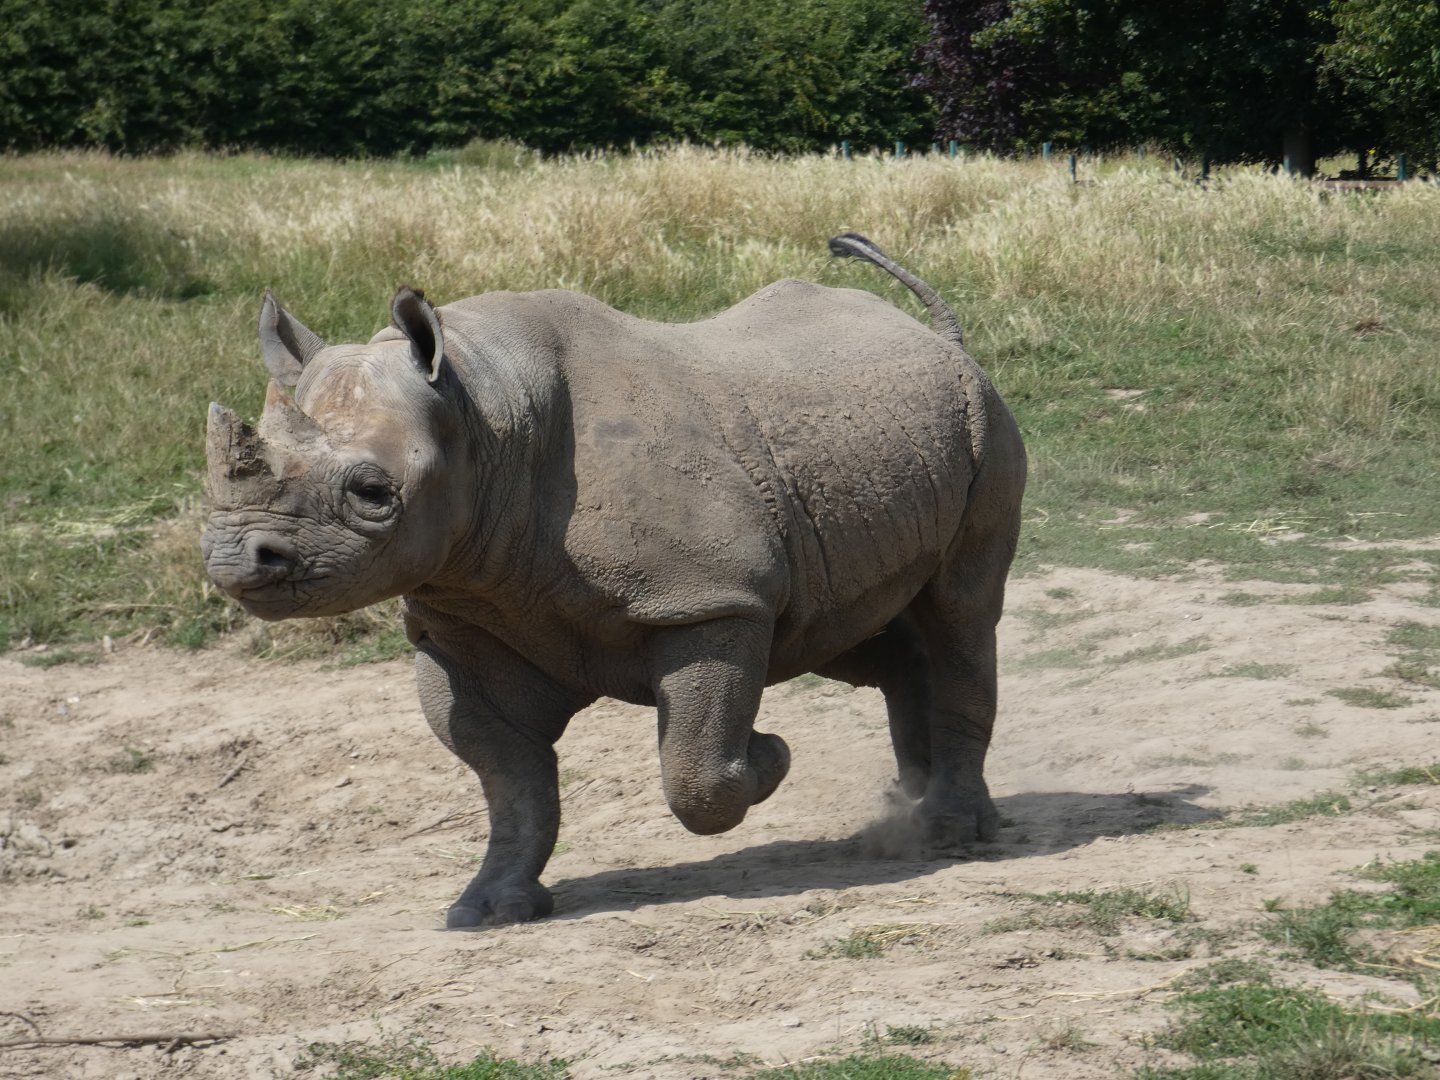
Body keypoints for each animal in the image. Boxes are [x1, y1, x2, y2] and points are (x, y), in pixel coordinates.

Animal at [201, 234, 1026, 928]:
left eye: (373, 493)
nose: (235, 560)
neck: (482, 411)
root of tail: (943, 341)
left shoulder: (708, 600)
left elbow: (695, 773)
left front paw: (768, 756)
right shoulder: (463, 616)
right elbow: (511, 783)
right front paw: (488, 908)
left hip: (983, 423)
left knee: (961, 613)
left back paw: (948, 832)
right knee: (847, 630)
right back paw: (909, 810)